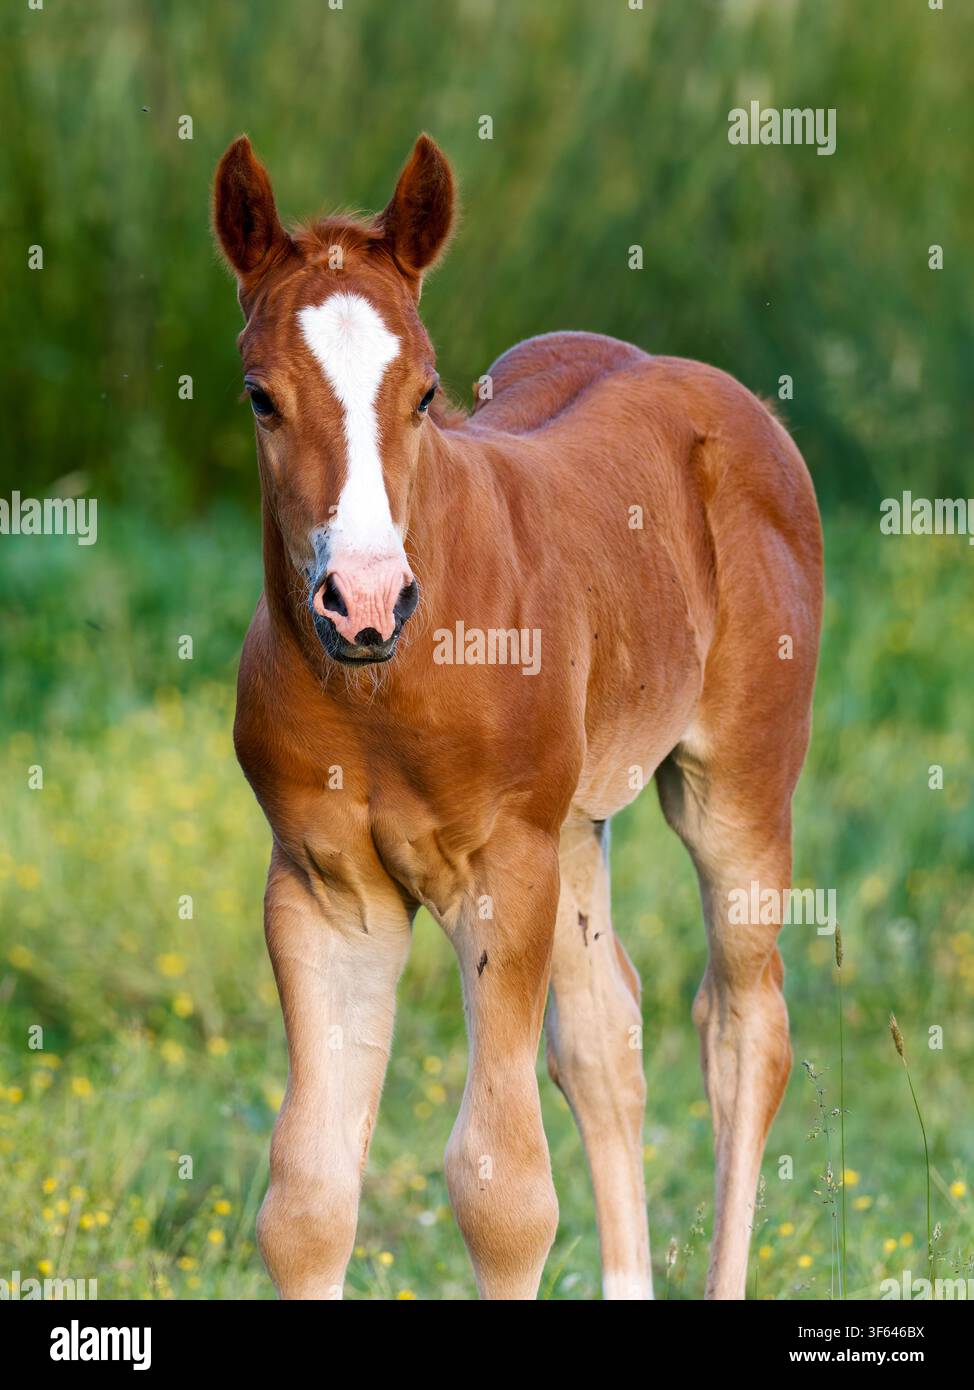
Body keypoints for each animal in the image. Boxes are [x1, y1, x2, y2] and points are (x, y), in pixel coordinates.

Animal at [212, 132, 823, 1301]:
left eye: (423, 393)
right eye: (260, 397)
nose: (362, 599)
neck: (391, 683)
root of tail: (717, 391)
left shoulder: (504, 867)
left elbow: (501, 1192)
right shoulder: (322, 889)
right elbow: (306, 1199)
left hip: (734, 789)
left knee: (745, 1031)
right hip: (577, 825)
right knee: (605, 1040)